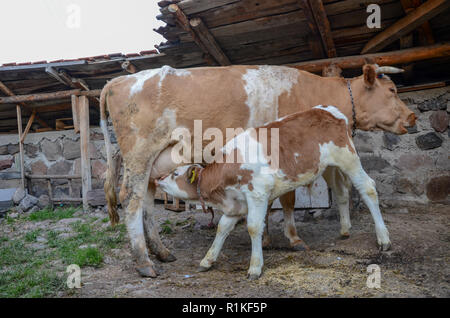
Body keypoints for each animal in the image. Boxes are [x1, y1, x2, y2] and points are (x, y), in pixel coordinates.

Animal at [156, 105, 390, 280]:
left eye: (175, 173)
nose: (158, 179)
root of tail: (328, 110)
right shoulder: (235, 204)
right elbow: (222, 228)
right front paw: (208, 259)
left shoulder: (257, 193)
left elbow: (253, 227)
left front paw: (255, 267)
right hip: (329, 167)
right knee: (341, 192)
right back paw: (345, 229)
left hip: (348, 158)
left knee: (368, 188)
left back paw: (383, 239)